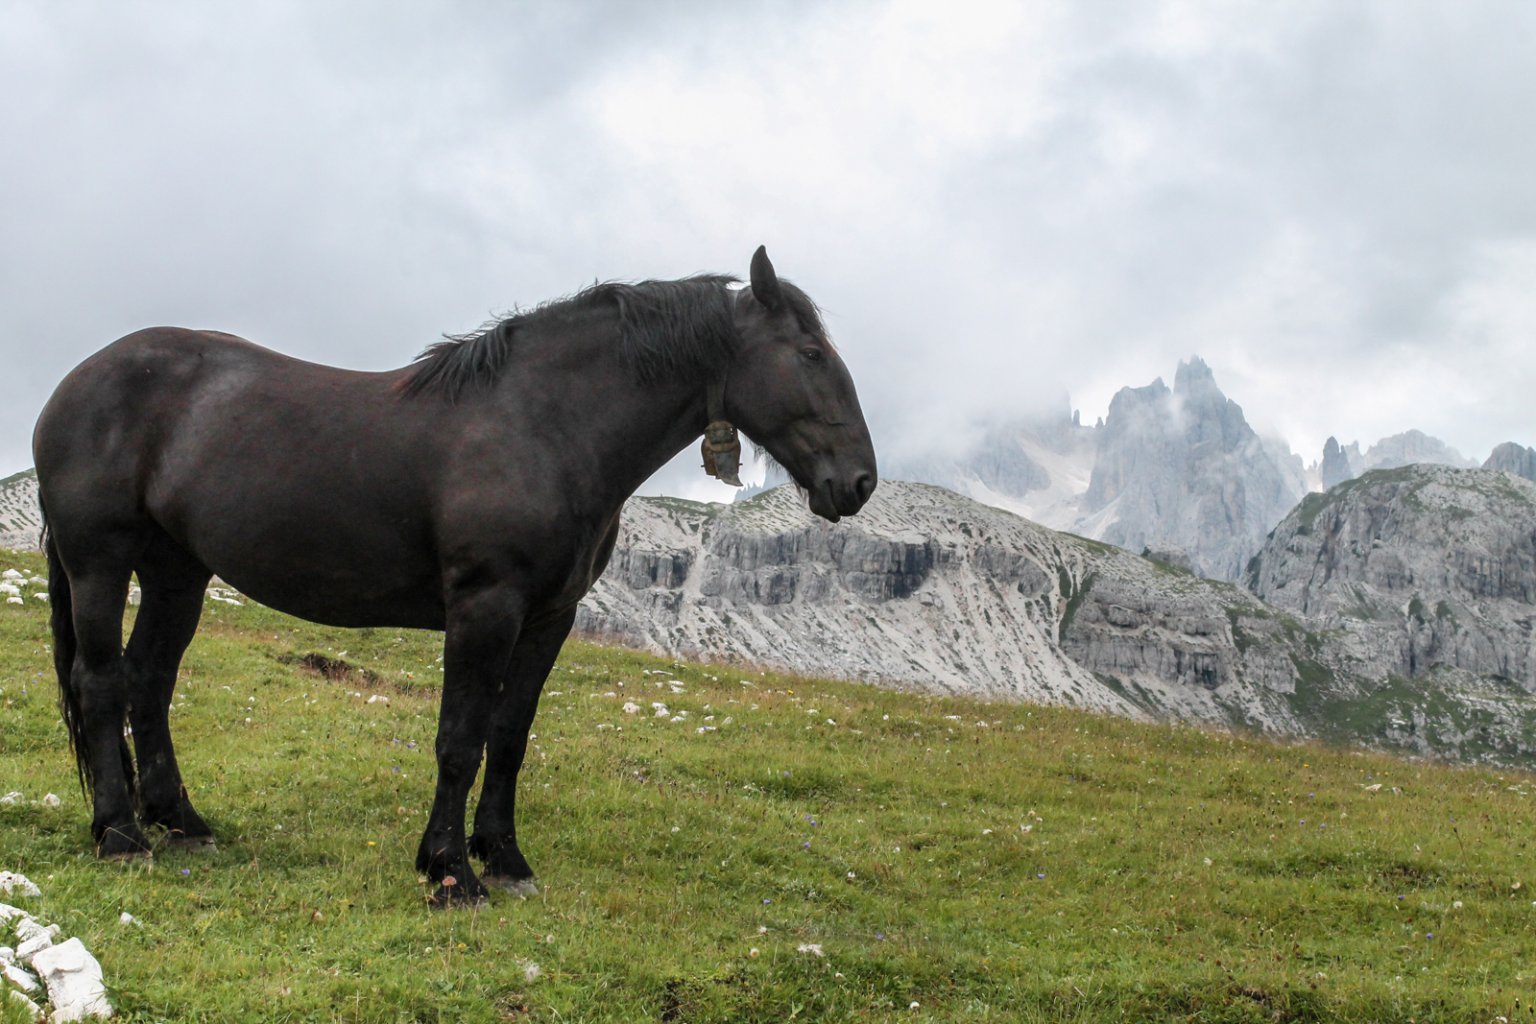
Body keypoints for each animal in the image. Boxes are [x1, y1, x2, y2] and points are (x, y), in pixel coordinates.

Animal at [33, 248, 878, 902]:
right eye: (809, 355)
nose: (860, 482)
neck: (544, 425)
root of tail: (76, 383)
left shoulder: (548, 618)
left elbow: (508, 738)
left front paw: (502, 857)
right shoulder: (485, 608)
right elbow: (459, 740)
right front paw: (448, 872)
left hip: (177, 572)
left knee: (149, 681)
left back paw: (179, 821)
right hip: (99, 561)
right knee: (101, 683)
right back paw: (120, 833)